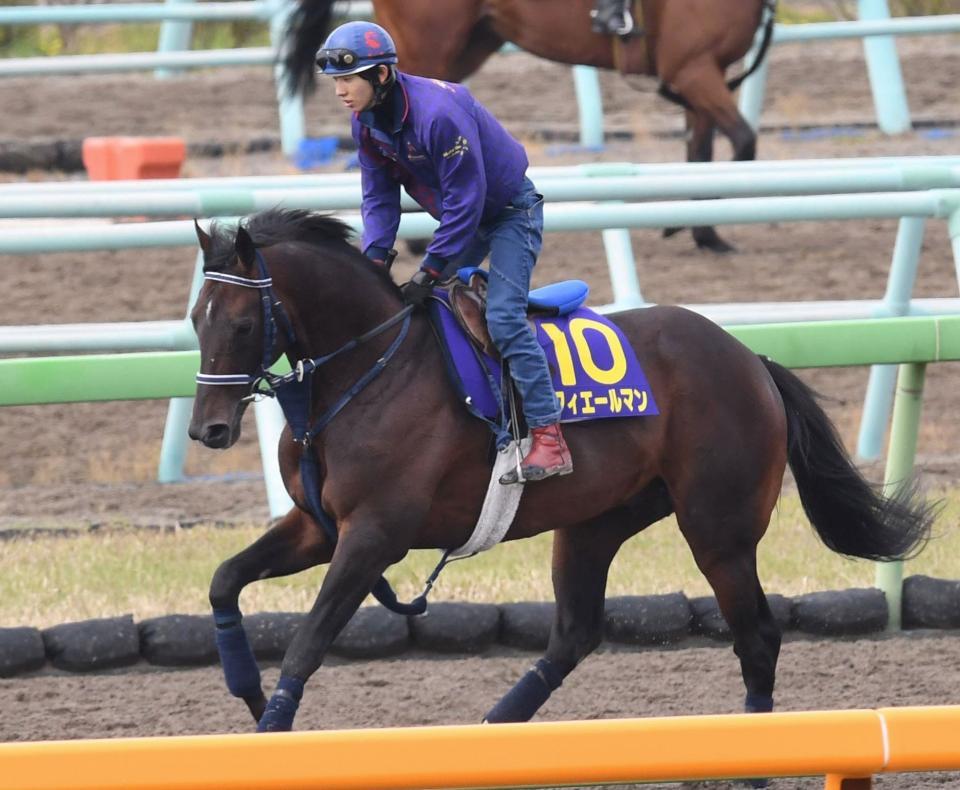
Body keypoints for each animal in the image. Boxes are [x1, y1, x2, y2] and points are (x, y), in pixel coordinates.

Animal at [188, 210, 928, 736]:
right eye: (196, 318)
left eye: (241, 322)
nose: (208, 429)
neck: (370, 370)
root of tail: (752, 359)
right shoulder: (319, 527)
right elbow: (224, 580)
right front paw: (248, 692)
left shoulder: (374, 536)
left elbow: (308, 642)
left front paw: (270, 728)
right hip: (595, 521)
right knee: (574, 634)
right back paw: (494, 730)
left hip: (719, 529)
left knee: (758, 637)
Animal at [284, 0, 772, 254]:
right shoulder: (692, 69)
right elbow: (742, 143)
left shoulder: (700, 72)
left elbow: (702, 152)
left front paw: (701, 231)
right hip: (430, 41)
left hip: (476, 40)